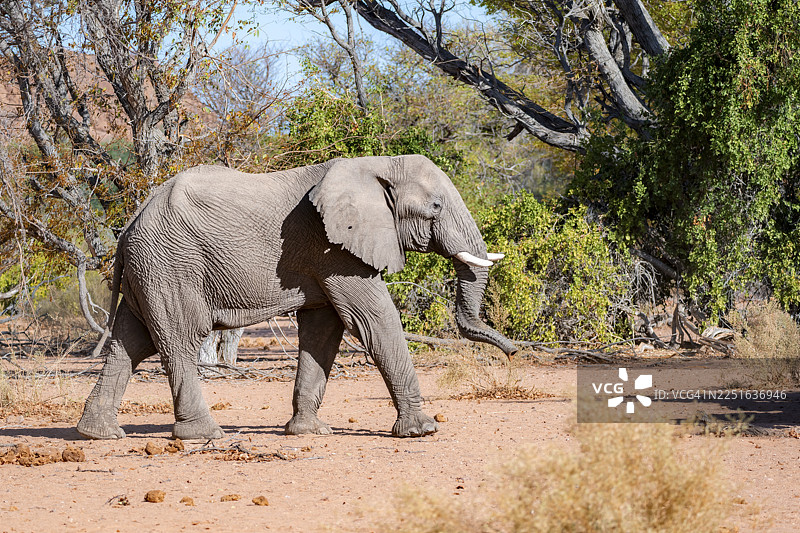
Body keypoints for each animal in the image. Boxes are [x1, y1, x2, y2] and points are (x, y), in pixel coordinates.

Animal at [77, 154, 517, 441]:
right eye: (435, 207)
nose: (513, 353)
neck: (378, 164)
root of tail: (130, 224)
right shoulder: (335, 250)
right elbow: (373, 321)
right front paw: (422, 430)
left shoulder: (325, 260)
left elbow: (324, 331)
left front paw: (310, 432)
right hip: (171, 265)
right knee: (179, 339)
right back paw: (204, 435)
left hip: (151, 269)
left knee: (130, 341)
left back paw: (99, 434)